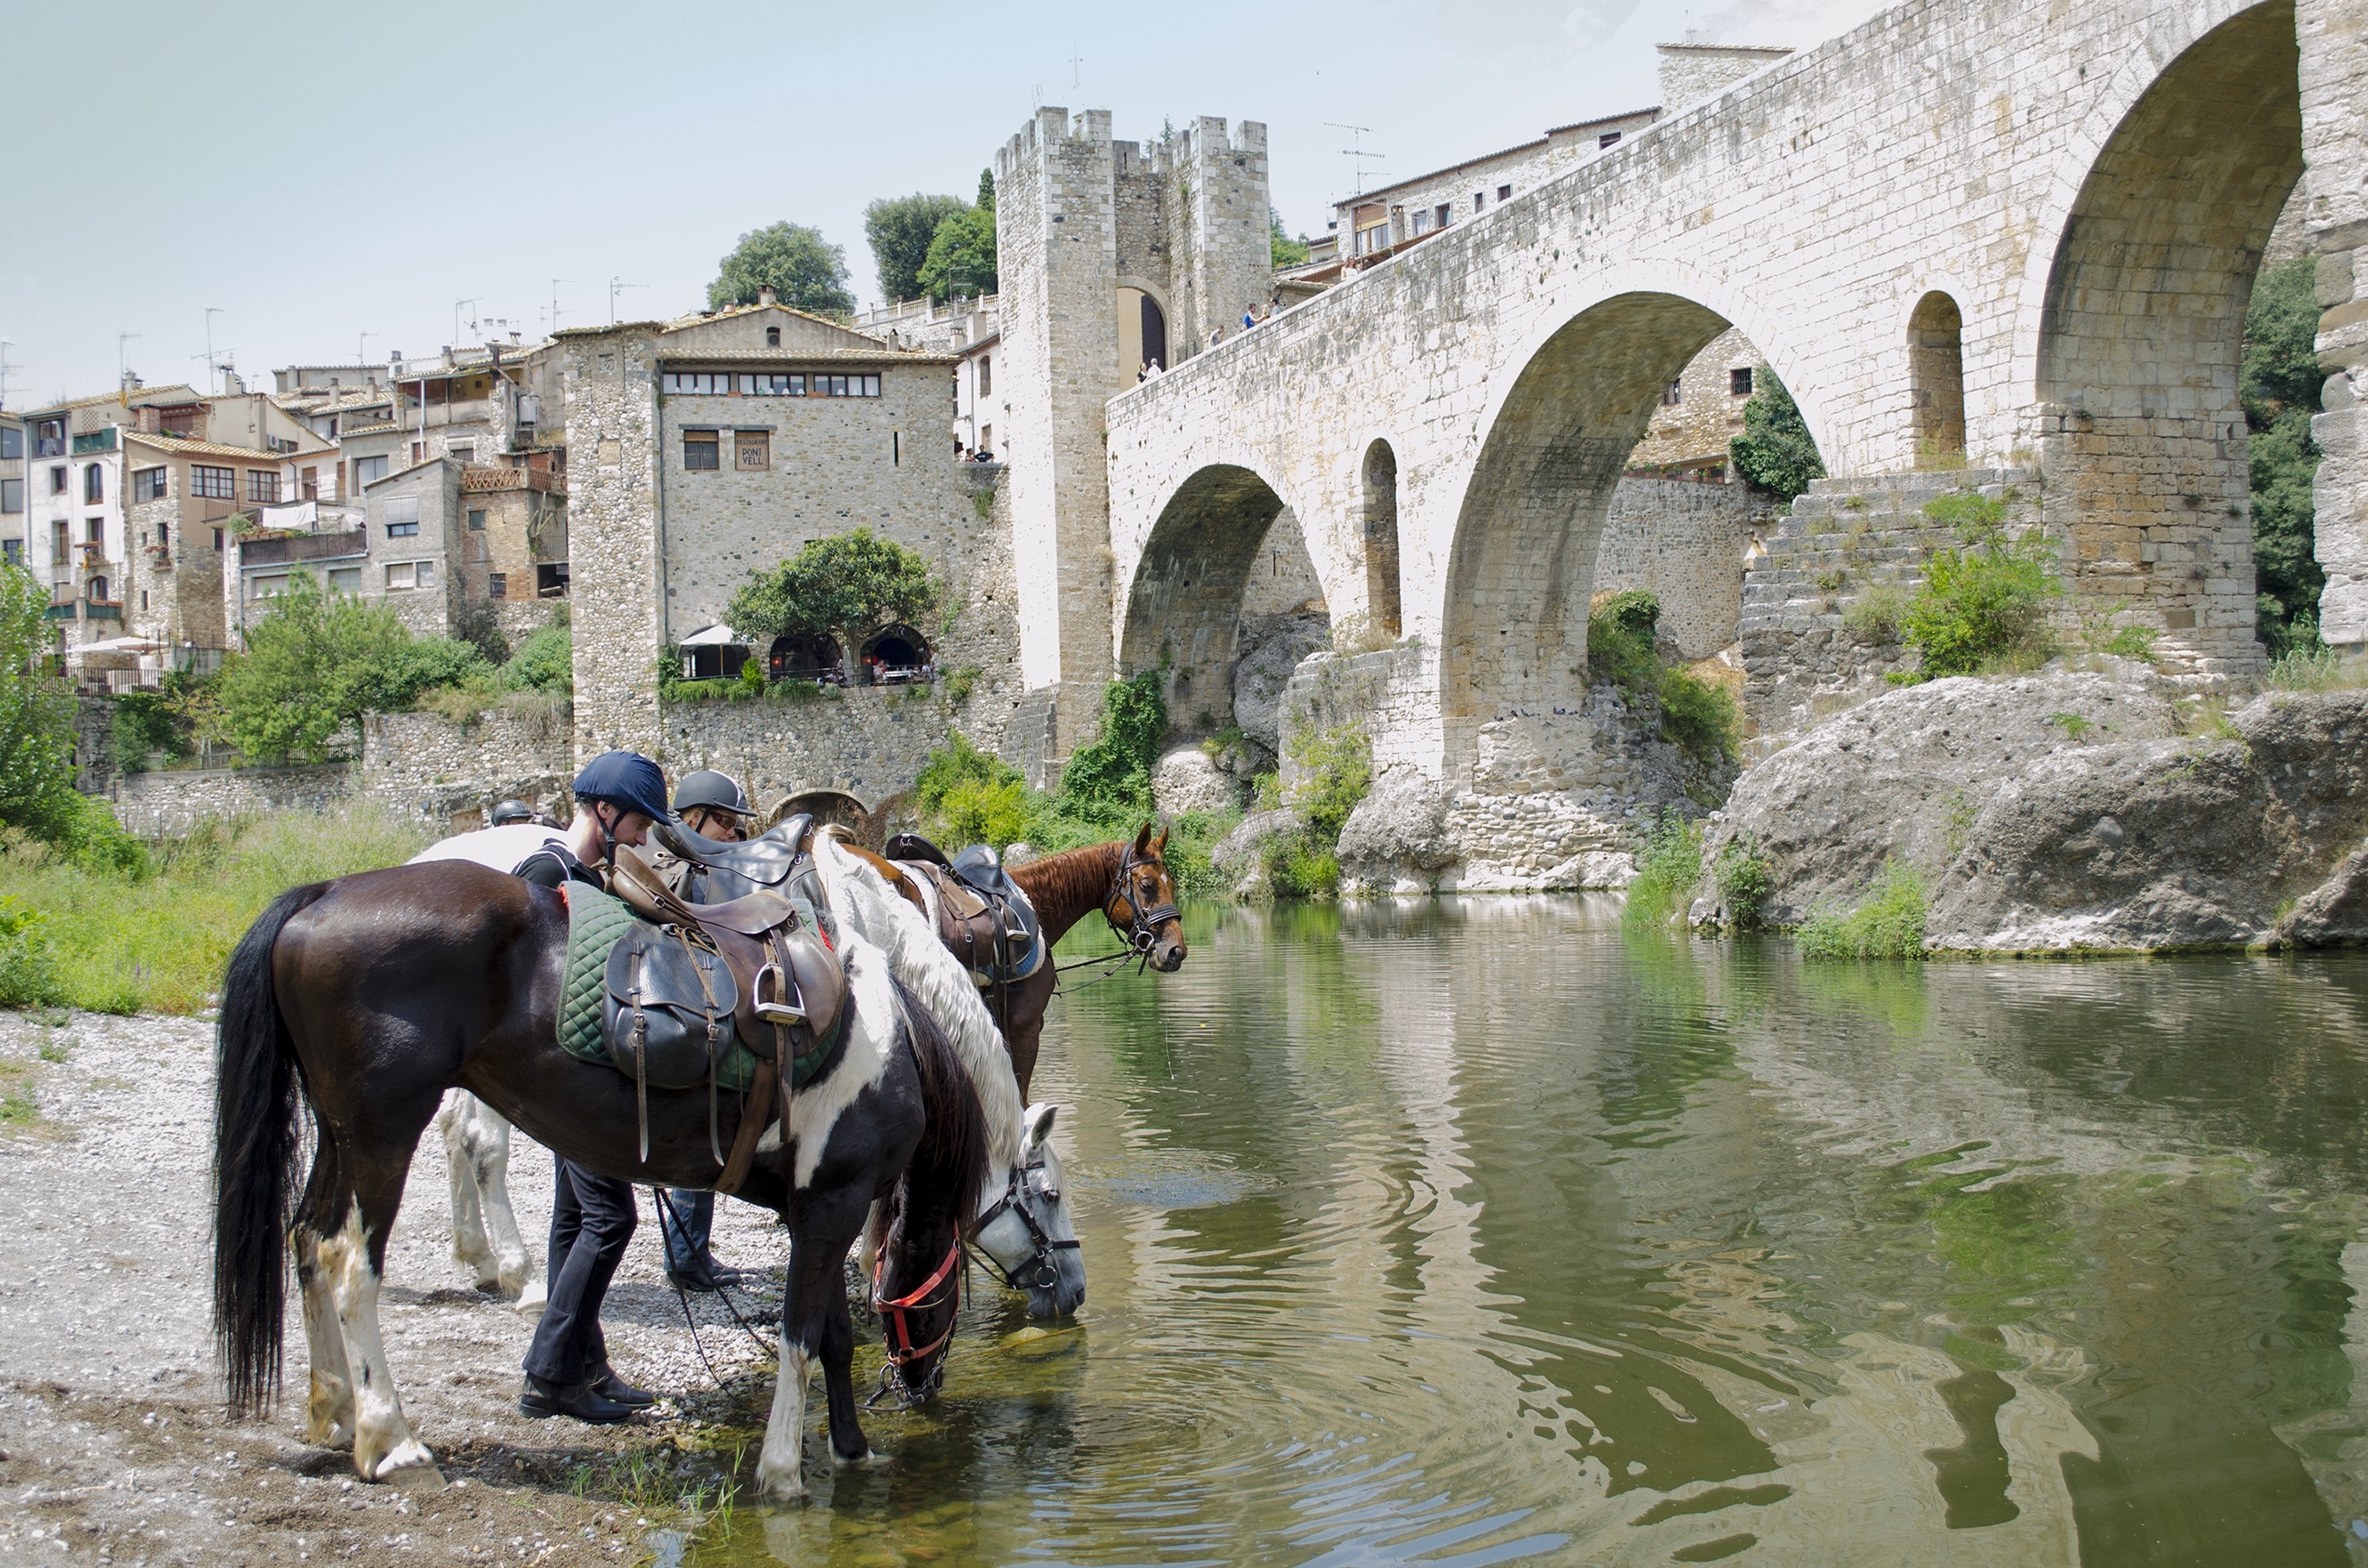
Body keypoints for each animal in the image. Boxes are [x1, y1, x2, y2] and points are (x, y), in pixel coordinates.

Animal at [212, 861, 990, 1501]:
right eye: (949, 1286)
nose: (925, 1385)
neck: (892, 1049)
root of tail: (324, 894)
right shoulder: (833, 1204)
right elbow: (801, 1339)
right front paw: (783, 1472)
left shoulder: (812, 1205)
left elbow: (830, 1337)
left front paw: (852, 1450)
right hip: (382, 1136)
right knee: (349, 1264)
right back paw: (391, 1440)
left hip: (341, 1137)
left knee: (306, 1241)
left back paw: (336, 1413)